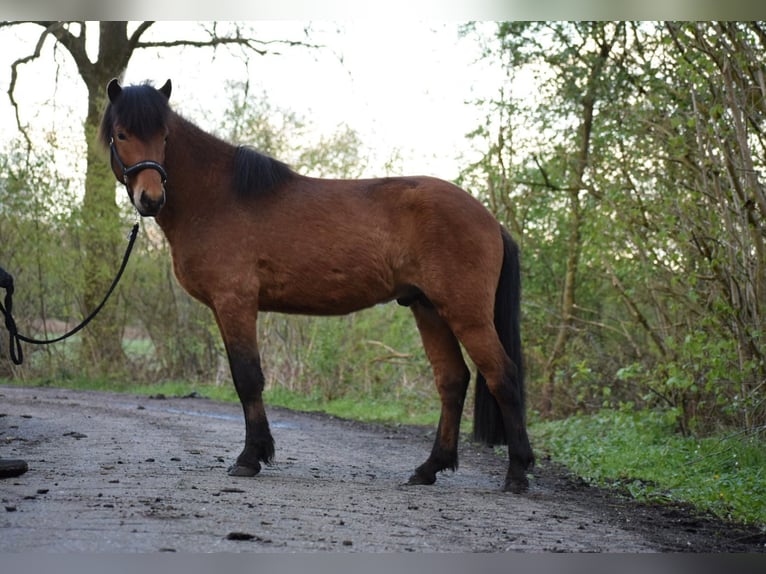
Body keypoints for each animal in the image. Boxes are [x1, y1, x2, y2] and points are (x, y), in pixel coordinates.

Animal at [100, 79, 536, 496]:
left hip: (465, 313)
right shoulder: (224, 309)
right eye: (122, 134)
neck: (217, 198)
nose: (151, 198)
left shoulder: (235, 302)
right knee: (452, 381)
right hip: (427, 308)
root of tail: (489, 219)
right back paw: (429, 469)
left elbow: (248, 377)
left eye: (165, 135)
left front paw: (250, 457)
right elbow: (245, 377)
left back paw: (517, 473)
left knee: (502, 376)